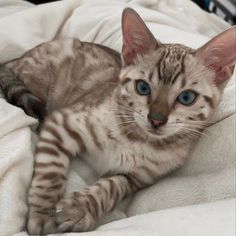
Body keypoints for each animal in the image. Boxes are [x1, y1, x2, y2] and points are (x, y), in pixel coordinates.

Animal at [0, 6, 235, 234]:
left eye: (186, 98)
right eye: (142, 87)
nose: (156, 120)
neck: (139, 140)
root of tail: (13, 59)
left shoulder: (137, 178)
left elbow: (114, 186)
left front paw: (79, 208)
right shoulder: (61, 122)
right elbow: (50, 172)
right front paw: (42, 215)